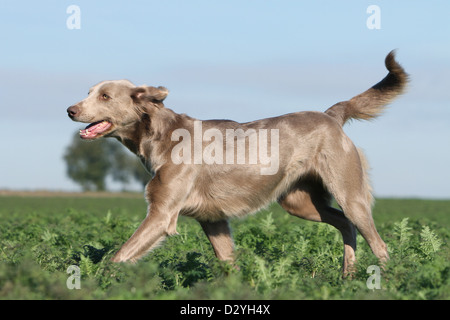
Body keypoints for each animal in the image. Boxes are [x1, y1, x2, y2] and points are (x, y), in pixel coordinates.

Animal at [67, 50, 408, 276]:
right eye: (89, 92)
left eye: (106, 96)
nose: (70, 110)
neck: (162, 135)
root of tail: (330, 116)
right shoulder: (213, 220)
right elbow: (228, 263)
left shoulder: (161, 215)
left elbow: (119, 256)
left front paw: (97, 282)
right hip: (300, 201)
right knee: (346, 226)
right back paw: (347, 276)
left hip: (349, 192)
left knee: (378, 242)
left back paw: (388, 281)